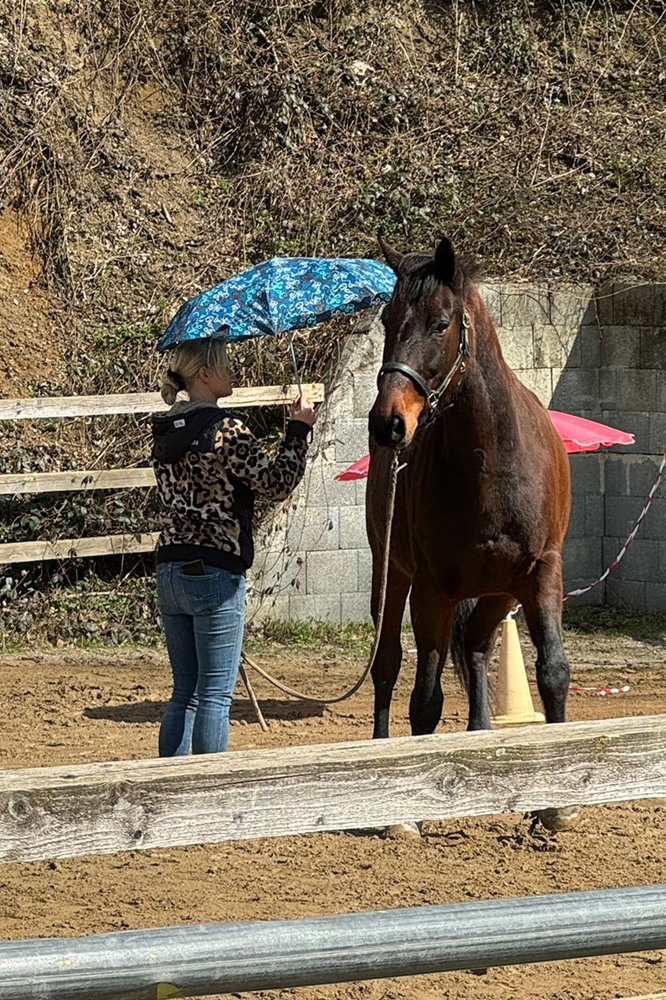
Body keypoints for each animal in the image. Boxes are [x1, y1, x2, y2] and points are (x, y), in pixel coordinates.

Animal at [366, 236, 571, 741]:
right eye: (387, 320)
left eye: (441, 324)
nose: (386, 423)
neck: (491, 465)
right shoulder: (430, 590)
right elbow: (424, 702)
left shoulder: (541, 572)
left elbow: (553, 674)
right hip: (391, 573)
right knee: (386, 665)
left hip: (499, 592)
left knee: (477, 646)